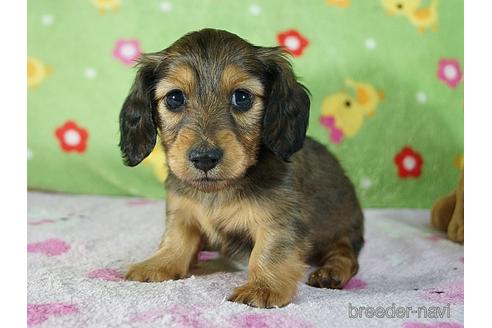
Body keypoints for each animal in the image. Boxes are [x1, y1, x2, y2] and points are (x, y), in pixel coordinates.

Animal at [119, 27, 366, 308]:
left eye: (242, 97)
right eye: (174, 98)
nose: (204, 159)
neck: (219, 192)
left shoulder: (279, 220)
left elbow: (269, 253)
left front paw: (263, 287)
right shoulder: (182, 212)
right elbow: (176, 239)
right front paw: (159, 263)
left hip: (342, 231)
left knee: (346, 255)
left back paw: (331, 272)